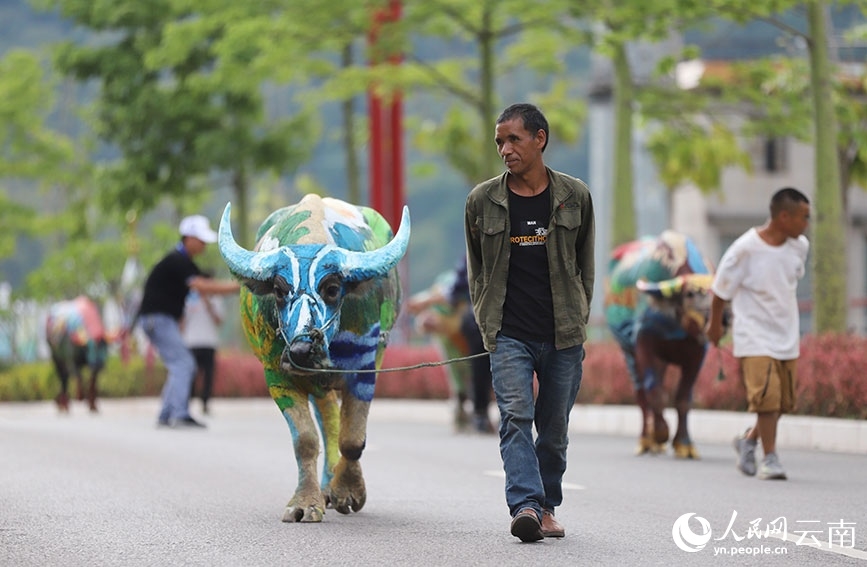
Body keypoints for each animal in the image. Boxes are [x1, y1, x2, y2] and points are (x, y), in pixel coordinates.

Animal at [215, 194, 408, 524]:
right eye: (279, 290)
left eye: (332, 288)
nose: (302, 351)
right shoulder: (277, 375)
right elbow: (305, 440)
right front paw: (305, 504)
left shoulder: (364, 368)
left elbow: (352, 438)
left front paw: (349, 492)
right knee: (327, 417)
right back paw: (326, 487)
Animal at [604, 233, 720, 460]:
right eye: (690, 294)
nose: (724, 318)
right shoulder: (644, 347)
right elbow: (655, 394)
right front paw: (660, 434)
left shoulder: (697, 356)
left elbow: (683, 399)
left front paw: (684, 444)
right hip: (628, 353)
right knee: (642, 396)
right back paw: (646, 442)